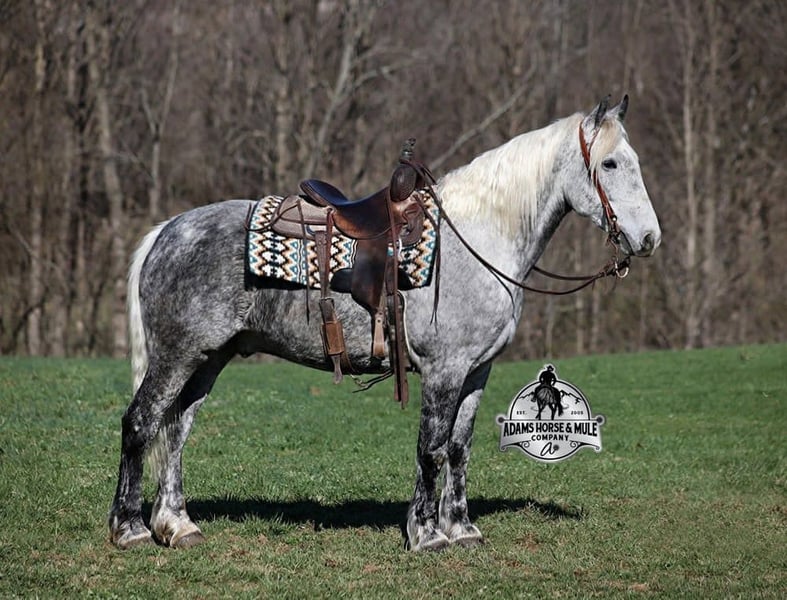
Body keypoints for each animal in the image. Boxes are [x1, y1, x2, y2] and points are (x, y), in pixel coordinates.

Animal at [108, 96, 661, 552]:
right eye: (610, 163)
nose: (649, 238)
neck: (477, 239)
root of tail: (167, 231)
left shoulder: (477, 372)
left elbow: (459, 449)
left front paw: (462, 529)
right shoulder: (444, 371)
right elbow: (431, 448)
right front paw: (426, 534)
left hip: (207, 359)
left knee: (175, 431)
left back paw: (177, 525)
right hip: (176, 356)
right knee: (141, 423)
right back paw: (130, 529)